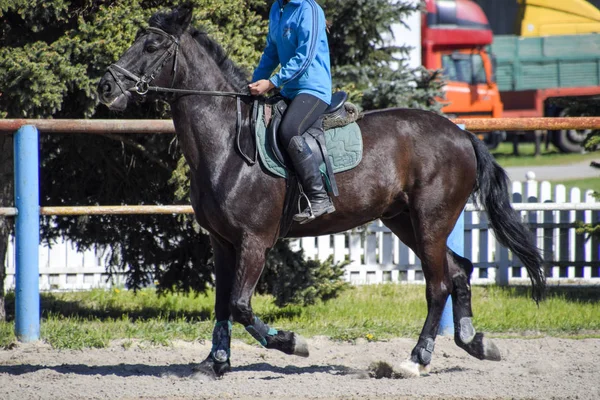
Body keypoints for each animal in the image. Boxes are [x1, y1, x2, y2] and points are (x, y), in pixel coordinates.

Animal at [97, 3, 544, 378]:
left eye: (152, 45)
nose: (105, 88)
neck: (226, 143)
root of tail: (461, 134)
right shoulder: (221, 243)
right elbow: (223, 303)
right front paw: (215, 363)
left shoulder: (254, 242)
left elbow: (241, 306)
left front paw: (291, 343)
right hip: (403, 221)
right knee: (460, 271)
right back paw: (474, 343)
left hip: (431, 221)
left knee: (439, 285)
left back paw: (415, 360)